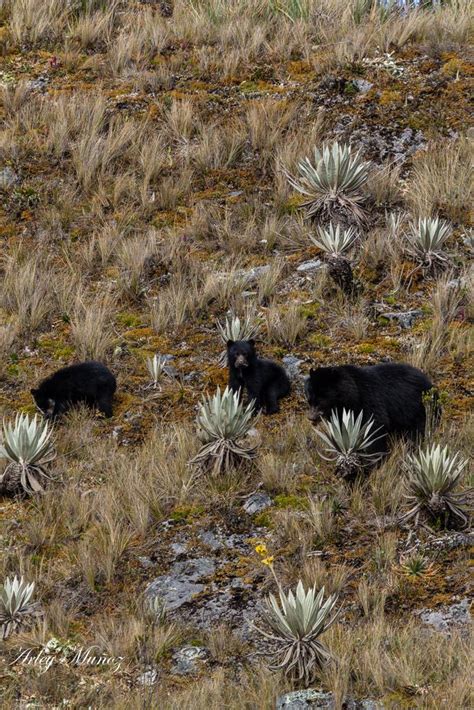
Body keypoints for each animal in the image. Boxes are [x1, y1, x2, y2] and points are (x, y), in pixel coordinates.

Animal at [306, 364, 436, 454]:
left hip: (416, 410)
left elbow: (375, 427)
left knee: (416, 432)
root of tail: (430, 383)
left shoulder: (368, 401)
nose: (311, 418)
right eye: (309, 400)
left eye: (321, 401)